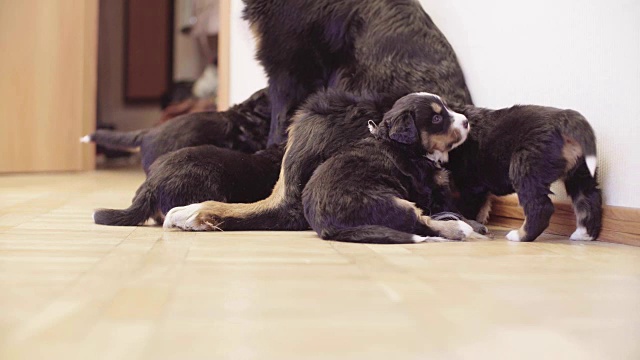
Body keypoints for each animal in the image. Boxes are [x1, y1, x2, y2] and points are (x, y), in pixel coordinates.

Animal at [302, 94, 476, 243]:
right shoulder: (431, 188)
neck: (408, 148)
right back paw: (460, 229)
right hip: (393, 203)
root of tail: (327, 228)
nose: (466, 122)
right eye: (436, 118)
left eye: (447, 107)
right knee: (419, 224)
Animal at [448, 105, 604, 243]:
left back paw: (519, 236)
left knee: (540, 207)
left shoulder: (471, 185)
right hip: (580, 173)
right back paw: (584, 235)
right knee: (589, 198)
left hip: (525, 168)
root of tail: (565, 117)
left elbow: (468, 208)